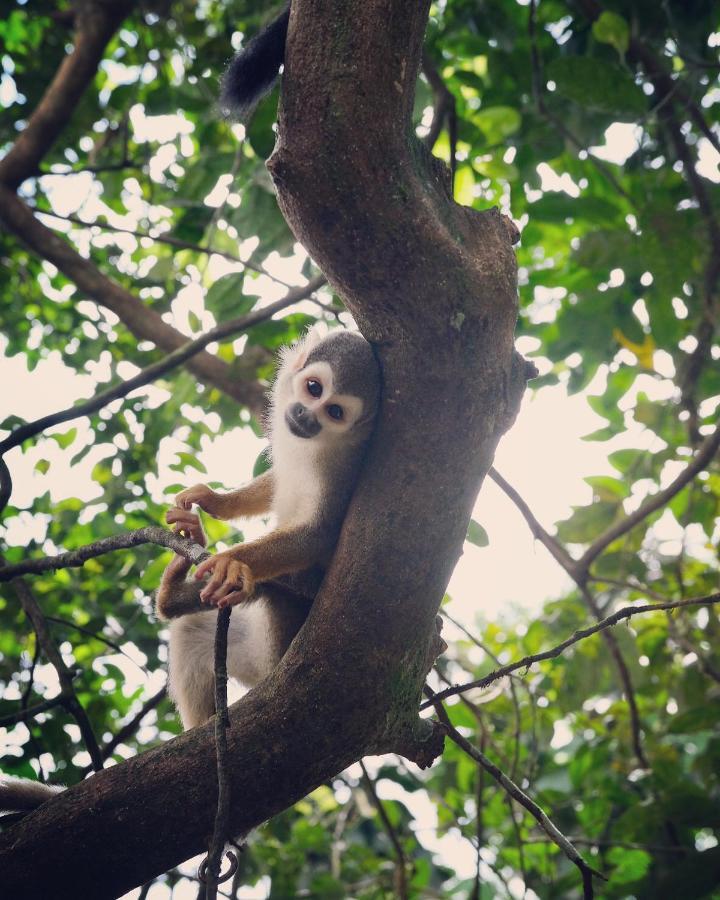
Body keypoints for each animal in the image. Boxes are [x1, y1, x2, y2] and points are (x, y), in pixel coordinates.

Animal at [156, 330, 382, 732]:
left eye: (335, 412)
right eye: (313, 389)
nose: (306, 417)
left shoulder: (344, 467)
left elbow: (316, 536)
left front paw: (230, 562)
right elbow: (275, 483)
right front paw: (215, 501)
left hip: (279, 637)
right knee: (191, 630)